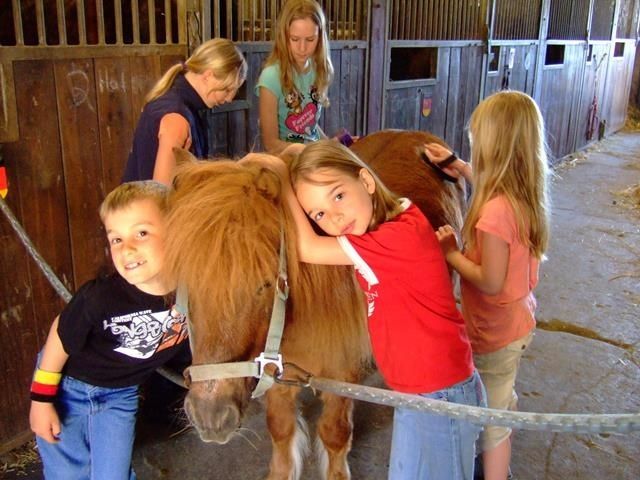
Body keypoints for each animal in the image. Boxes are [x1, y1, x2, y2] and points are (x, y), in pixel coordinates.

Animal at [163, 130, 465, 480]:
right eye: (186, 281)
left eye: (265, 283)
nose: (210, 416)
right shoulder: (277, 372)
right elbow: (280, 430)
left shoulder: (343, 373)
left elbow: (334, 433)